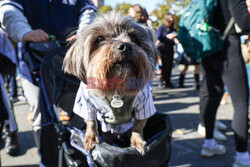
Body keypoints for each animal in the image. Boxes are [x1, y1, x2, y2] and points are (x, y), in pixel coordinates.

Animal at [64, 11, 158, 155]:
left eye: (134, 38)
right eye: (99, 39)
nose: (125, 46)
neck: (117, 85)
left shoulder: (145, 103)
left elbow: (138, 125)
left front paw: (137, 142)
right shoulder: (86, 103)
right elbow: (91, 121)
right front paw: (91, 138)